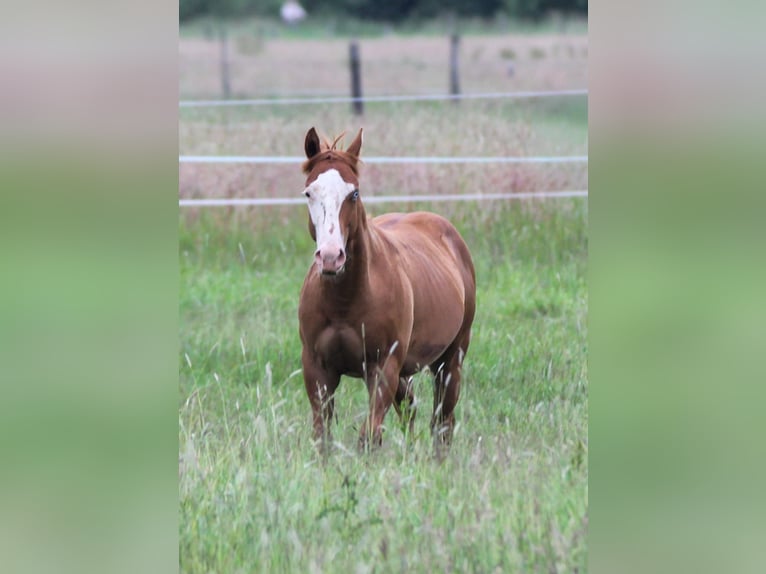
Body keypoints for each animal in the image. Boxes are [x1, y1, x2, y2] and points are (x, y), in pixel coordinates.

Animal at [297, 127, 476, 451]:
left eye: (354, 193)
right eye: (309, 193)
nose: (331, 257)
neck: (345, 301)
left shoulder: (383, 368)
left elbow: (369, 436)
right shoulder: (317, 370)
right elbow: (322, 436)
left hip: (451, 359)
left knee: (442, 422)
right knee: (410, 410)